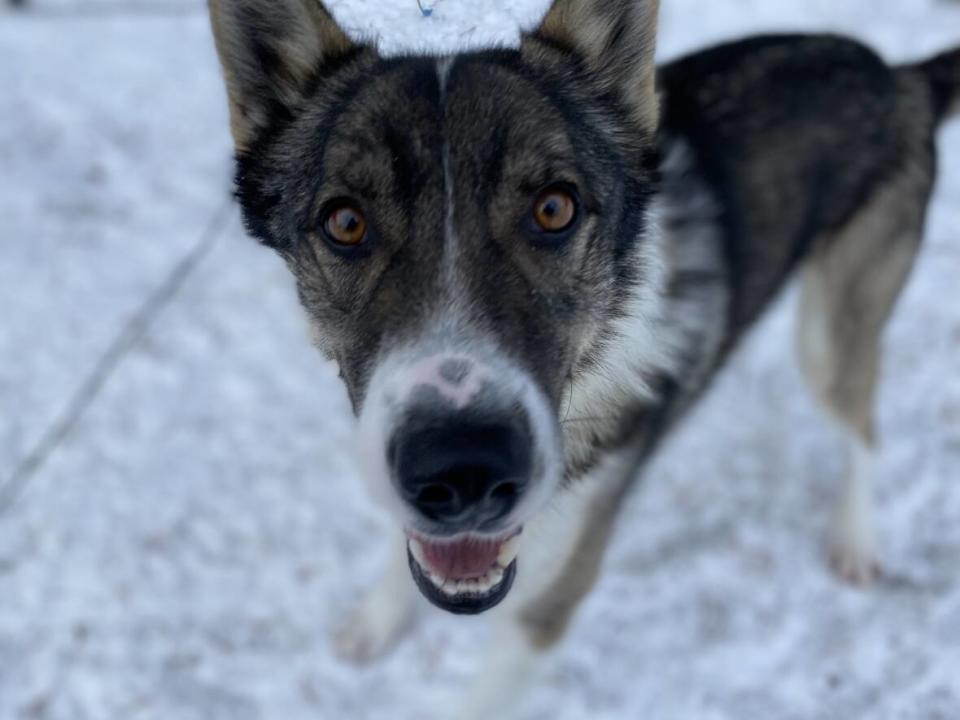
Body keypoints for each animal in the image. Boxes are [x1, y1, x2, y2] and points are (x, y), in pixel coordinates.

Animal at [206, 0, 956, 716]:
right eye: (345, 222)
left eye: (554, 209)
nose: (463, 470)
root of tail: (902, 77)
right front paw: (378, 620)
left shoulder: (549, 602)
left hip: (829, 336)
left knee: (863, 430)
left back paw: (855, 539)